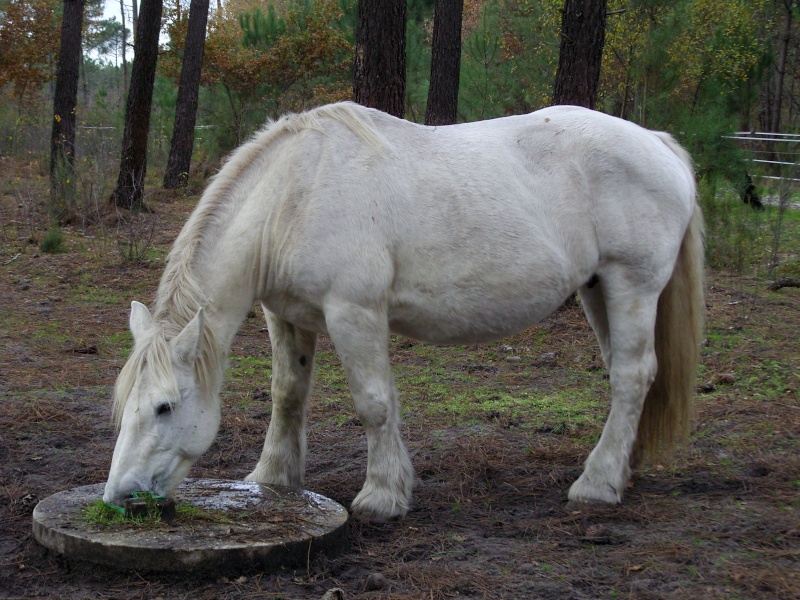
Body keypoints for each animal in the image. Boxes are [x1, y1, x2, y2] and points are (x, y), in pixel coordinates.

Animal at [103, 102, 704, 520]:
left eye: (163, 407)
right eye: (123, 406)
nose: (120, 498)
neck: (295, 194)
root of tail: (656, 142)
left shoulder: (355, 314)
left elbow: (374, 404)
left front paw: (382, 495)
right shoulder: (287, 317)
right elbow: (287, 396)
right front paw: (272, 478)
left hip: (632, 285)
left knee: (632, 375)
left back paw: (597, 484)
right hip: (597, 289)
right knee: (623, 374)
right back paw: (621, 469)